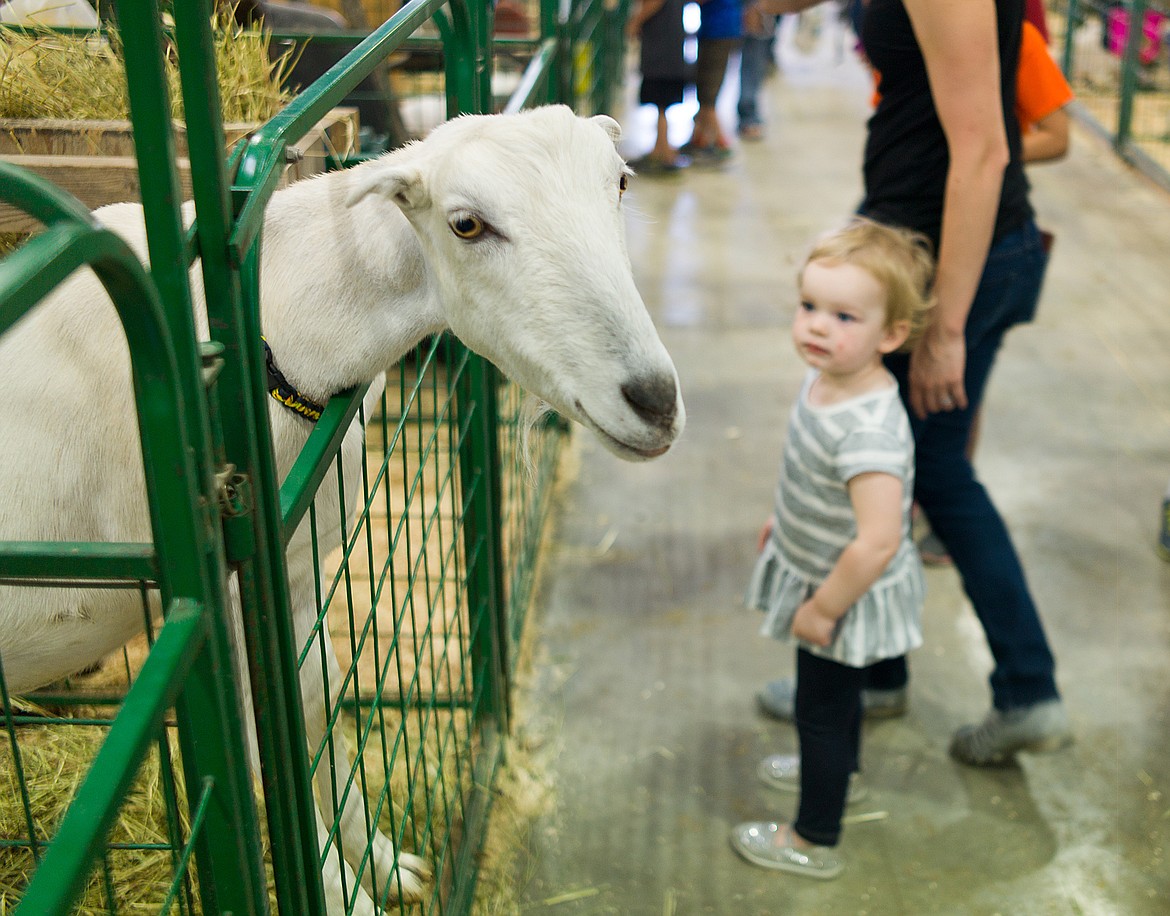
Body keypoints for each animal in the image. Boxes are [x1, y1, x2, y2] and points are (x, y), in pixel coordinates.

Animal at [0, 105, 683, 907]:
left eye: (622, 181)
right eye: (466, 224)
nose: (655, 402)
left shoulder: (291, 570)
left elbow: (314, 708)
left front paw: (385, 866)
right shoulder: (218, 600)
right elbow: (262, 749)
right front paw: (340, 892)